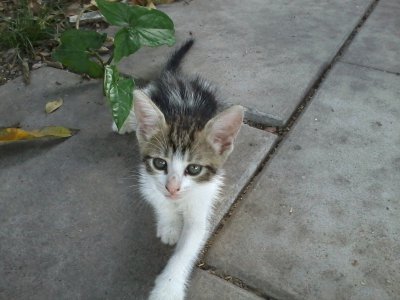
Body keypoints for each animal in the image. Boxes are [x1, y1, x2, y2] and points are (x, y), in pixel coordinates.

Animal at [113, 39, 244, 300]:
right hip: (151, 92)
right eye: (160, 163)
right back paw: (123, 122)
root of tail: (177, 79)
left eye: (193, 169)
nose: (172, 188)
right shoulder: (147, 178)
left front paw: (167, 288)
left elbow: (190, 243)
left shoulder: (203, 199)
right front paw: (170, 225)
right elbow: (158, 200)